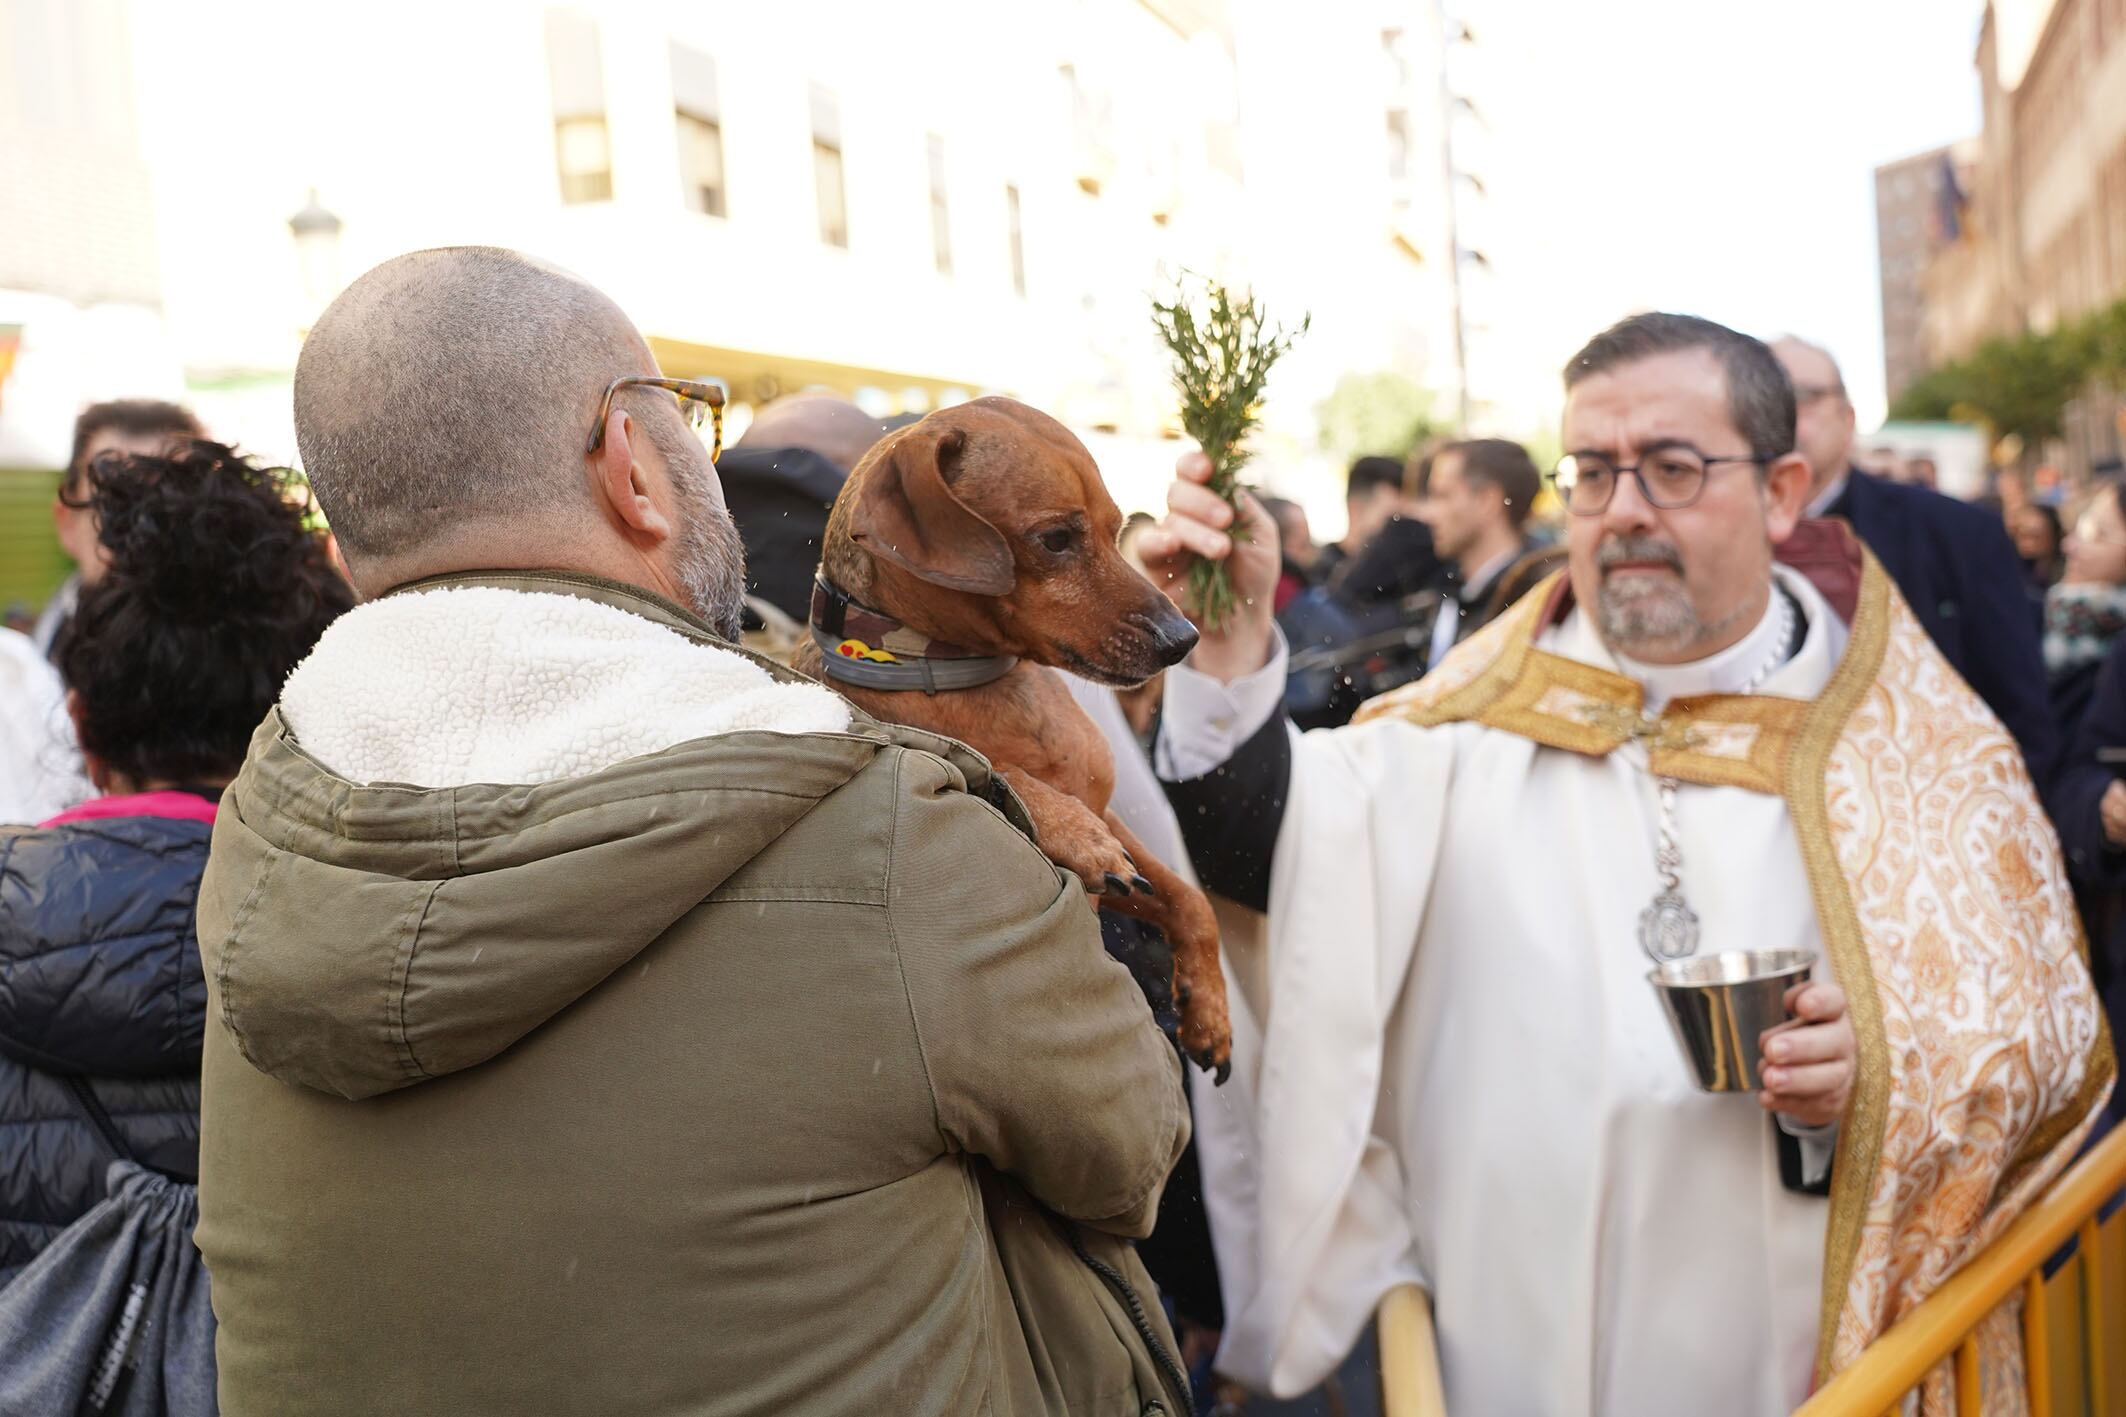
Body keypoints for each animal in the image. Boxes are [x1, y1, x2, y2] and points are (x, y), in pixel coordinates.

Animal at [795, 393, 1233, 1079]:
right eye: (1055, 540)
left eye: (1115, 530)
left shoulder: (1118, 829)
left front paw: (1209, 1009)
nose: (1183, 639)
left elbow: (1190, 899)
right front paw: (1072, 829)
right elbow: (1006, 770)